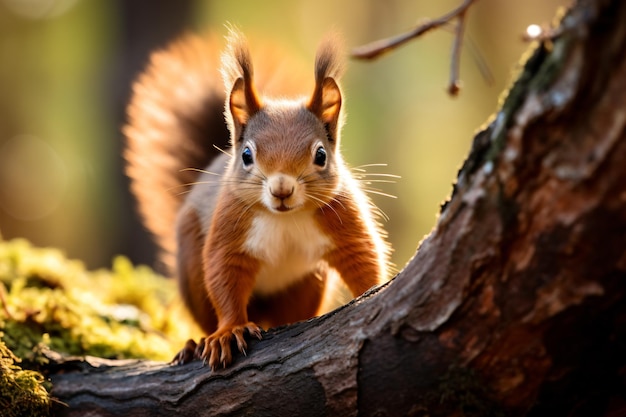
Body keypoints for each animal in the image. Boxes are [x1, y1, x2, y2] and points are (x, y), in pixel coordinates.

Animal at [123, 29, 388, 368]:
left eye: (321, 155)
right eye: (247, 155)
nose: (281, 189)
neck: (285, 217)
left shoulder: (343, 217)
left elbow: (363, 259)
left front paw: (375, 292)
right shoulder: (230, 227)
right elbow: (224, 275)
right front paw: (229, 332)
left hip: (305, 286)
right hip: (192, 267)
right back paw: (196, 344)